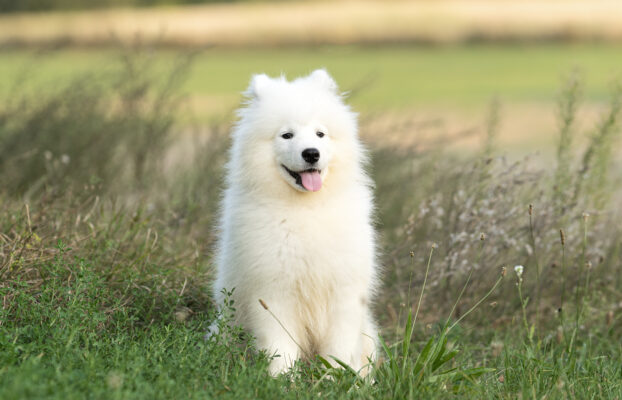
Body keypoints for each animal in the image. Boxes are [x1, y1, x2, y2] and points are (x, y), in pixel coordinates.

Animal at [212, 69, 380, 376]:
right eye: (286, 135)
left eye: (320, 133)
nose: (311, 153)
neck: (306, 209)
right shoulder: (273, 292)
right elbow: (280, 348)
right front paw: (280, 380)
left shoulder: (343, 293)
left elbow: (339, 349)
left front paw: (337, 379)